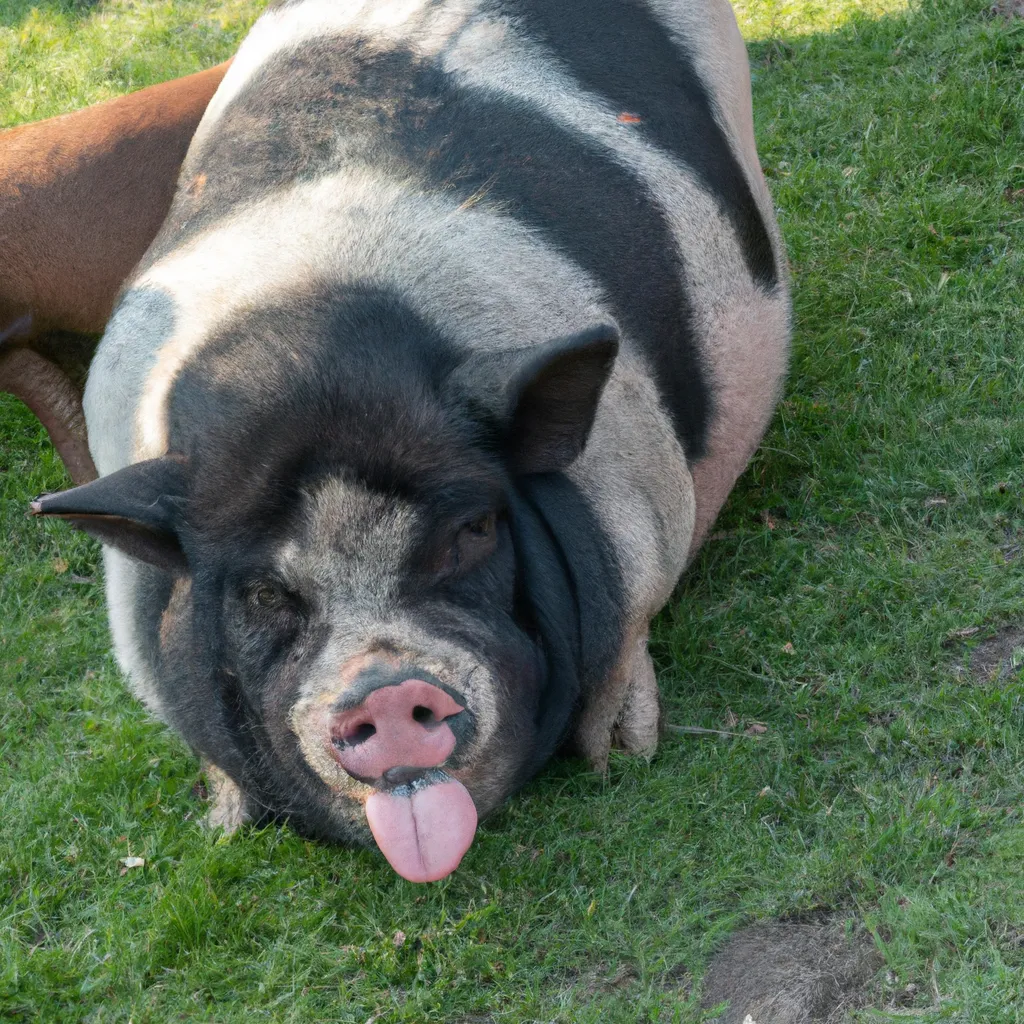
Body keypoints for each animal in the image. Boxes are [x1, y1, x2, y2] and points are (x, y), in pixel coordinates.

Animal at [29, 0, 782, 880]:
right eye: (261, 592)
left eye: (474, 529)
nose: (386, 692)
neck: (312, 361)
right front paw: (223, 823)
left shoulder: (645, 511)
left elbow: (630, 635)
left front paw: (623, 755)